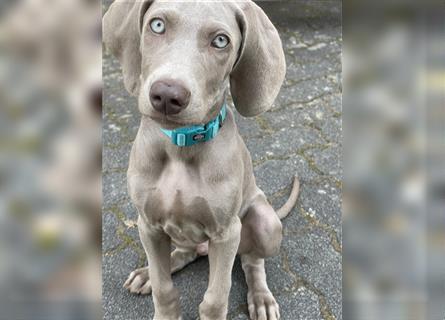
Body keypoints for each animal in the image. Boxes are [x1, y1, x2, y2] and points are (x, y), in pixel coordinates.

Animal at [103, 0, 298, 320]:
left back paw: (261, 298)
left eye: (220, 41)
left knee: (252, 261)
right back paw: (148, 272)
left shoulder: (227, 233)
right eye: (157, 25)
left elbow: (216, 298)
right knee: (185, 253)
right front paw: (161, 300)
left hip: (265, 223)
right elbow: (163, 288)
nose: (167, 95)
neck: (181, 145)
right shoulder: (148, 224)